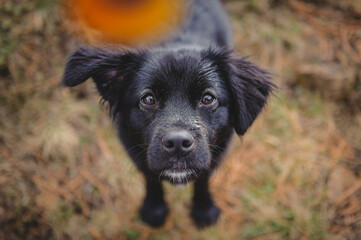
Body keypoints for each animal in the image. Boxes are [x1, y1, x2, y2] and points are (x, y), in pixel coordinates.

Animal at [62, 0, 272, 228]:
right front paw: (154, 210)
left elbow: (203, 179)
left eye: (208, 98)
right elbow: (151, 179)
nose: (178, 143)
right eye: (148, 99)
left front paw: (204, 210)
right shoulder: (138, 154)